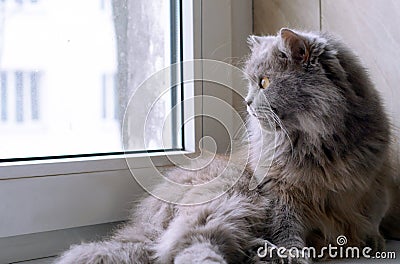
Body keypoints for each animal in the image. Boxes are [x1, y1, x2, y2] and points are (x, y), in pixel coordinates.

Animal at [54, 29, 398, 264]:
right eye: (252, 83)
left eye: (264, 83)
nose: (247, 102)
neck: (321, 145)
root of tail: (146, 218)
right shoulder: (280, 192)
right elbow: (288, 228)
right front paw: (294, 254)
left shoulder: (372, 185)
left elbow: (371, 217)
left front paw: (374, 242)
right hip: (232, 201)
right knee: (188, 247)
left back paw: (260, 252)